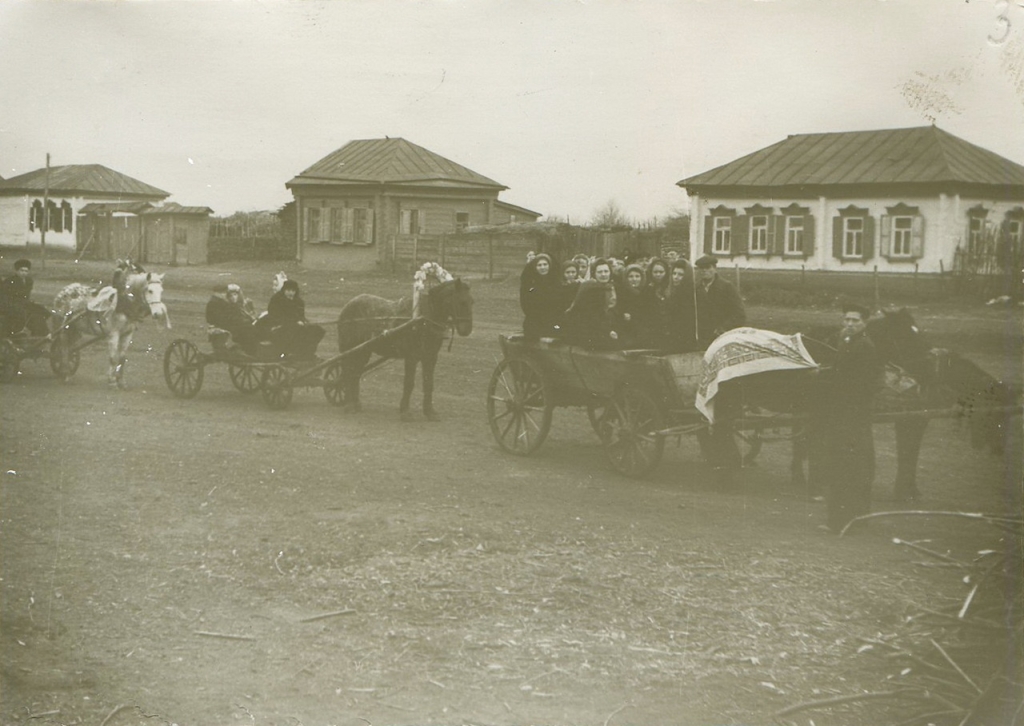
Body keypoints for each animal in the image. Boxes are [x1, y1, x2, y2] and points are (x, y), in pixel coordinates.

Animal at [335, 262, 471, 419]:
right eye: (461, 302)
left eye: (472, 302)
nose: (467, 329)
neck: (424, 318)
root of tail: (347, 307)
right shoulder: (411, 357)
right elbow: (409, 383)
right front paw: (405, 411)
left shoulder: (430, 357)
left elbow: (428, 383)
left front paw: (429, 412)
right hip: (349, 349)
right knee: (347, 372)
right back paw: (348, 405)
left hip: (363, 351)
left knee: (355, 373)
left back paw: (356, 404)